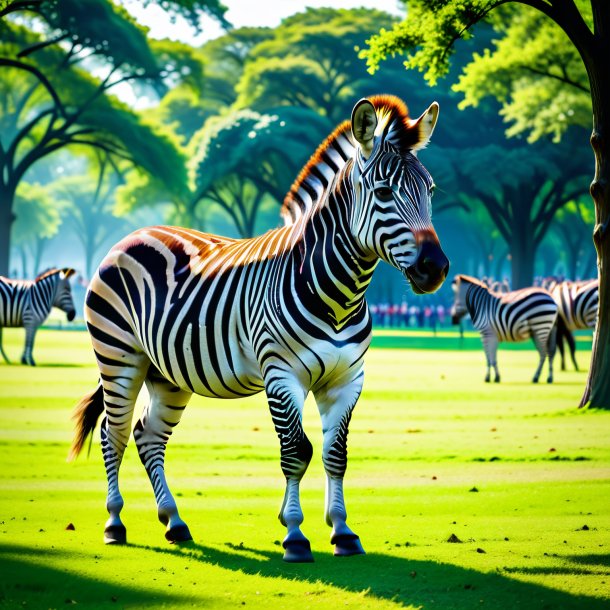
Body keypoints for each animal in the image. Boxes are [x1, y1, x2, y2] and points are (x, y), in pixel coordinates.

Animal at [67, 94, 446, 560]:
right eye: (384, 192)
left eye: (430, 191)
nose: (436, 268)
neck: (340, 294)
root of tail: (132, 235)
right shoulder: (282, 375)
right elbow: (296, 451)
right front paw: (295, 535)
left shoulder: (347, 379)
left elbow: (335, 454)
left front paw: (341, 531)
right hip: (119, 358)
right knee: (113, 434)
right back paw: (115, 523)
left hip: (168, 374)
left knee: (147, 436)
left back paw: (174, 522)